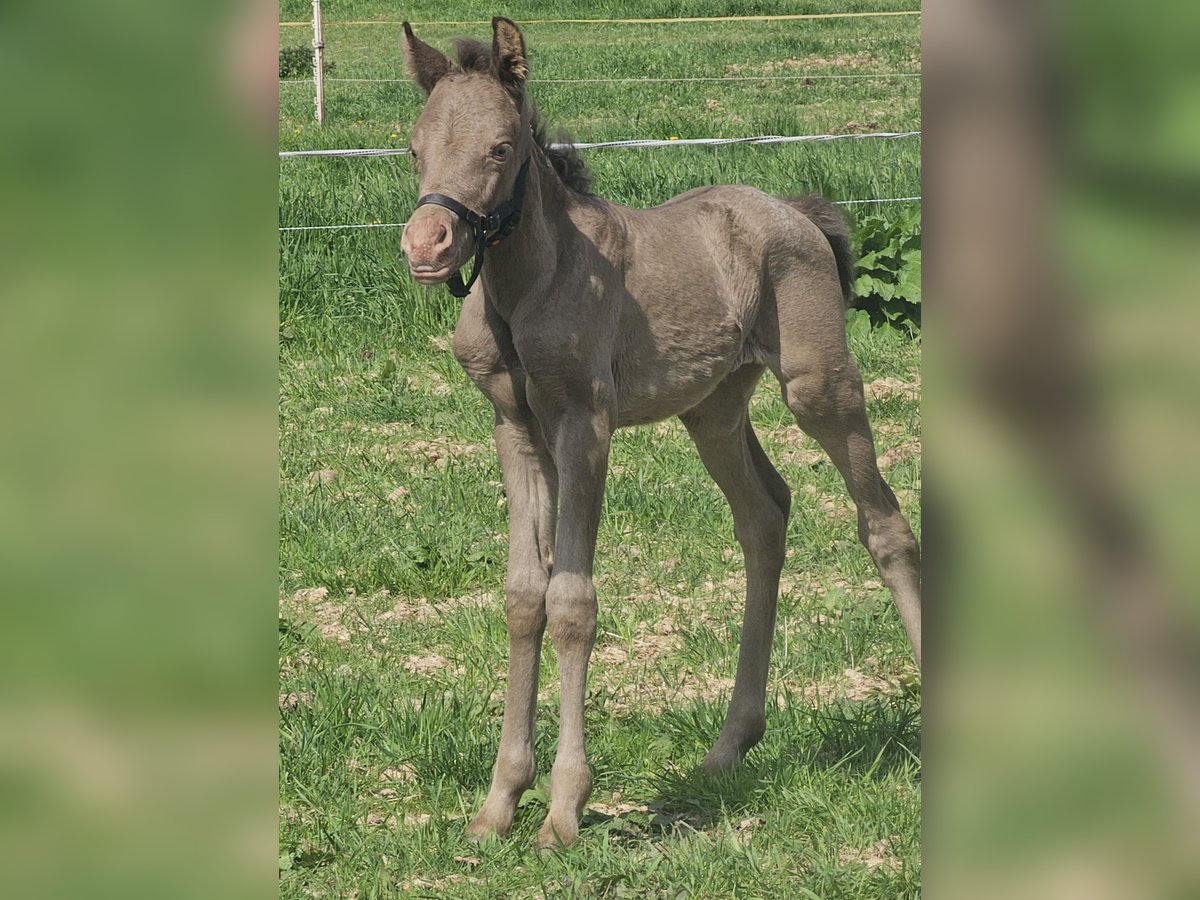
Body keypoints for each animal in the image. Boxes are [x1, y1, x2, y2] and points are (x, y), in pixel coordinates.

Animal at [398, 17, 921, 849]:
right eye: (416, 148)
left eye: (501, 148)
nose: (427, 245)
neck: (531, 284)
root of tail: (796, 211)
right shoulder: (514, 427)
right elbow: (523, 595)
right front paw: (498, 803)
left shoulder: (585, 423)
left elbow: (572, 602)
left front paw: (563, 810)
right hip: (712, 408)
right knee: (765, 514)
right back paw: (730, 744)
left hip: (819, 386)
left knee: (884, 523)